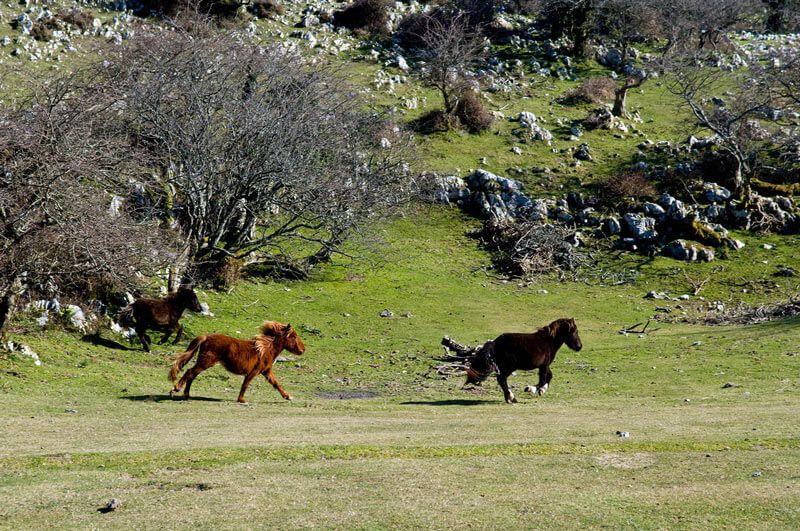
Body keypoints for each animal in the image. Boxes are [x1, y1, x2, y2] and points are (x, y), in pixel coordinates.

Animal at [170, 322, 306, 406]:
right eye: (294, 336)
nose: (303, 350)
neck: (266, 348)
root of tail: (206, 337)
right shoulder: (254, 372)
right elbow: (245, 384)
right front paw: (242, 400)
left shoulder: (266, 371)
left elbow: (276, 384)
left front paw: (288, 396)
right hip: (205, 362)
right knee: (190, 372)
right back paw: (175, 390)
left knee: (192, 375)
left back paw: (186, 395)